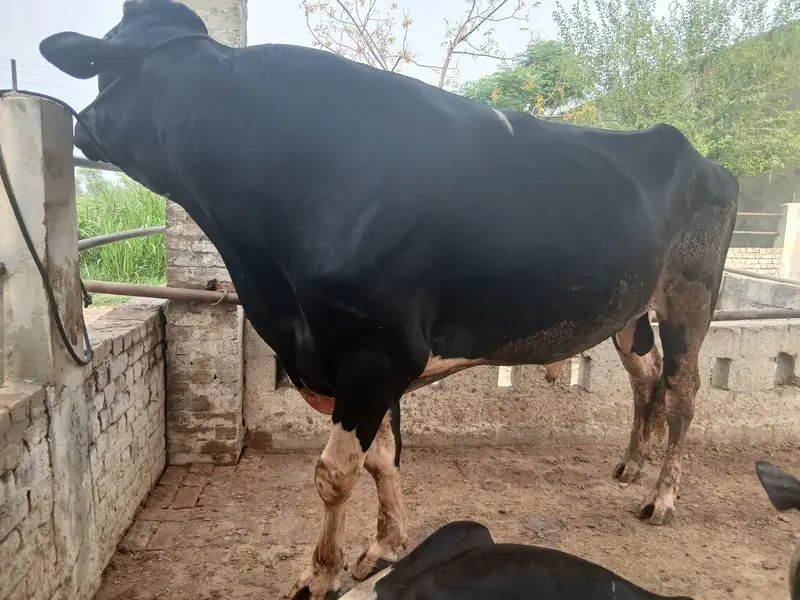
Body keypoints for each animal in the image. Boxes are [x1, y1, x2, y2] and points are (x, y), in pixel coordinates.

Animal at [38, 1, 739, 597]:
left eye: (99, 65)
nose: (81, 127)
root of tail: (700, 155)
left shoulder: (379, 353)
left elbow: (335, 473)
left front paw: (319, 575)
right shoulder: (353, 360)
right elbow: (381, 461)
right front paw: (385, 546)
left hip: (688, 298)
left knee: (682, 393)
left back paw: (661, 498)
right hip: (631, 312)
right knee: (646, 380)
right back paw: (629, 464)